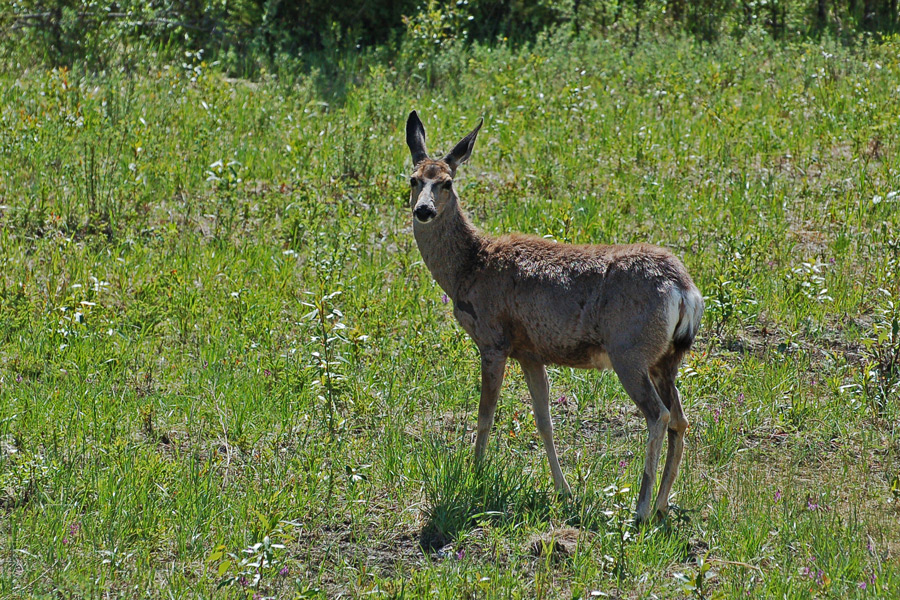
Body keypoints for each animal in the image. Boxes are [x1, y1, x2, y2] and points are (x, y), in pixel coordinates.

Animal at [404, 111, 708, 520]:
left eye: (447, 183)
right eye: (414, 179)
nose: (423, 210)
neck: (468, 269)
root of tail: (684, 288)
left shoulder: (493, 340)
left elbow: (485, 415)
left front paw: (476, 474)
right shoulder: (530, 352)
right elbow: (544, 420)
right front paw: (563, 491)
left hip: (629, 351)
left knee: (658, 415)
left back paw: (641, 508)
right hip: (666, 358)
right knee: (680, 419)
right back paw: (661, 507)